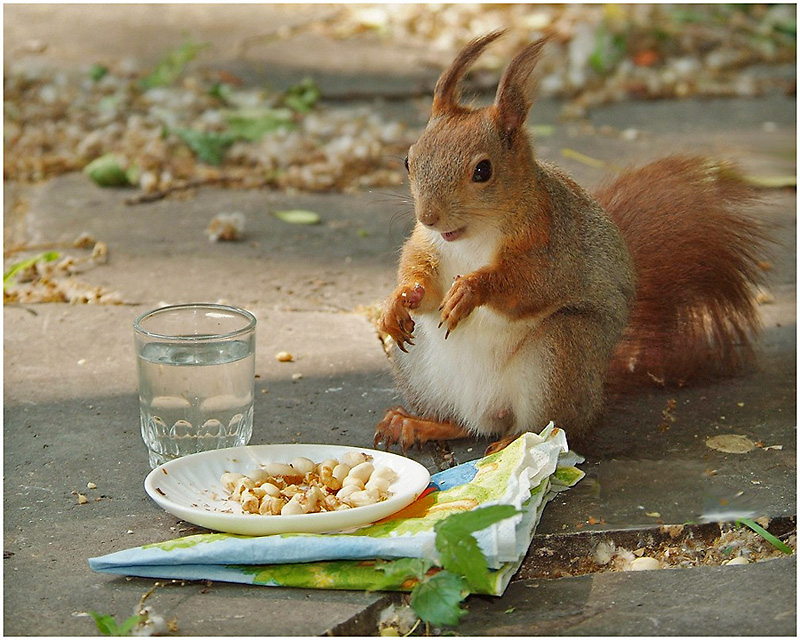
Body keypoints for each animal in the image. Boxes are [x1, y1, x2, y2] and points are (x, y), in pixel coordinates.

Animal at [376, 31, 768, 456]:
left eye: (483, 170)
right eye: (409, 160)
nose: (428, 216)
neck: (472, 236)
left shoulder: (553, 247)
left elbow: (529, 286)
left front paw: (470, 289)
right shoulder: (428, 245)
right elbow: (421, 280)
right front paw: (398, 300)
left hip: (559, 354)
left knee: (547, 425)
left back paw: (516, 442)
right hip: (419, 369)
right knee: (461, 424)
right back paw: (416, 423)